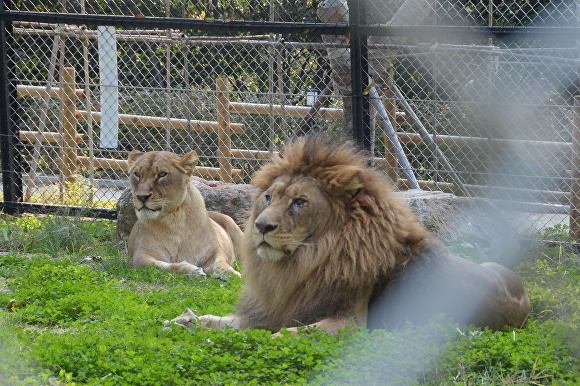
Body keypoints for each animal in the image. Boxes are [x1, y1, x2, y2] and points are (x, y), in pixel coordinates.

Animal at [172, 135, 532, 334]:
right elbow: (221, 320)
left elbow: (288, 335)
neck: (302, 265)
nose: (261, 227)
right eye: (269, 198)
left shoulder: (352, 321)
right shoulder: (276, 309)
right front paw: (186, 320)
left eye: (299, 202)